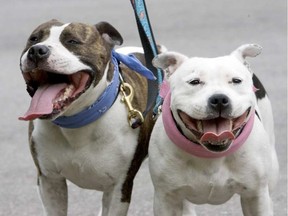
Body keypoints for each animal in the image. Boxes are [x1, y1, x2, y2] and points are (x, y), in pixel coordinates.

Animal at [148, 44, 280, 216]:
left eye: (236, 81)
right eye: (194, 82)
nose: (219, 99)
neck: (210, 154)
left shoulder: (255, 196)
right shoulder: (166, 199)